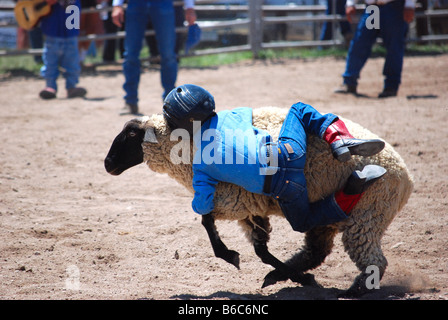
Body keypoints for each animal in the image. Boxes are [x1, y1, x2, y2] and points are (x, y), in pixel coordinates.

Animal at [104, 106, 412, 296]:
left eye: (131, 133)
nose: (107, 164)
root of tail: (406, 177)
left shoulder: (232, 198)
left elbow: (207, 222)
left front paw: (230, 255)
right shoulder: (249, 207)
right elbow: (260, 249)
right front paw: (292, 276)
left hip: (368, 214)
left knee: (375, 260)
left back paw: (354, 290)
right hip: (335, 220)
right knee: (317, 250)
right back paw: (287, 274)